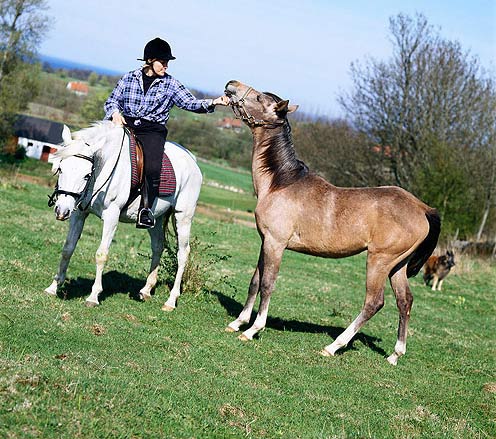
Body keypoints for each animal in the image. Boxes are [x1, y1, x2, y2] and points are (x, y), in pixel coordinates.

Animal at [44, 120, 202, 310]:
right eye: (60, 169)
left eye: (86, 175)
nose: (61, 211)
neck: (104, 169)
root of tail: (192, 159)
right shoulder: (79, 214)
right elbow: (68, 248)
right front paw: (53, 287)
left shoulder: (111, 216)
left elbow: (101, 255)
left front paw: (93, 296)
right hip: (155, 219)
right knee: (158, 246)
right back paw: (146, 290)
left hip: (183, 217)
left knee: (183, 254)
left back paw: (171, 301)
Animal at [223, 81, 440, 366]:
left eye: (259, 98)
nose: (232, 85)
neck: (281, 182)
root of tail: (423, 209)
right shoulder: (265, 242)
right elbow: (255, 281)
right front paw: (238, 323)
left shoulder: (276, 244)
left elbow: (268, 284)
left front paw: (252, 330)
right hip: (397, 266)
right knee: (405, 301)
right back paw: (394, 355)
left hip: (379, 261)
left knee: (374, 302)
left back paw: (333, 346)